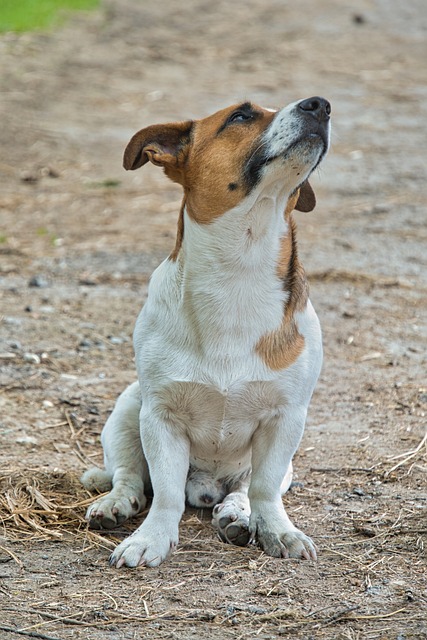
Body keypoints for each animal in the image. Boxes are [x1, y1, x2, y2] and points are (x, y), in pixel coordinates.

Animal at [82, 94, 332, 564]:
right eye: (241, 115)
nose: (320, 104)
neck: (238, 271)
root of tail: (206, 486)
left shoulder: (286, 419)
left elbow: (265, 489)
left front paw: (277, 531)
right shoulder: (160, 416)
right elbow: (164, 495)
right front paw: (150, 538)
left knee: (244, 489)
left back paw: (236, 514)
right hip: (127, 410)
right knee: (128, 473)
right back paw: (116, 503)